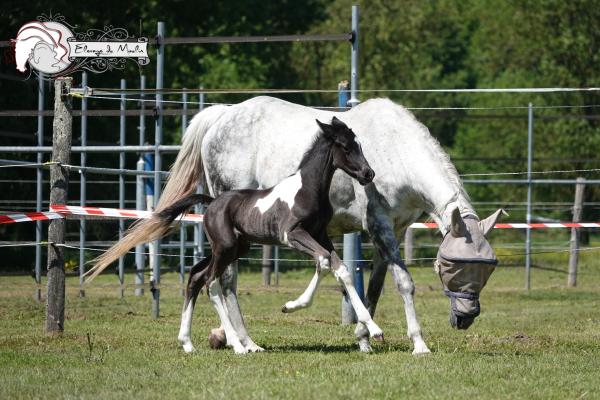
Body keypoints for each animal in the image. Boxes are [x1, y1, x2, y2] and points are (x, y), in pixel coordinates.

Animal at [159, 116, 382, 354]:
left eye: (359, 145)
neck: (308, 189)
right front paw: (291, 306)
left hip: (235, 248)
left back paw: (188, 343)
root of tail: (212, 203)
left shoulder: (320, 234)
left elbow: (341, 269)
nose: (368, 174)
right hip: (225, 247)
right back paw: (236, 344)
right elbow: (323, 261)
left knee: (196, 276)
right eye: (345, 147)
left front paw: (374, 329)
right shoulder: (292, 234)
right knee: (211, 282)